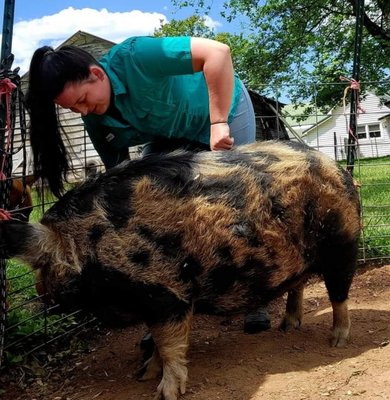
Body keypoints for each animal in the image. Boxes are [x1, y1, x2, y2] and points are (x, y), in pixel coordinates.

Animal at [0, 141, 360, 400]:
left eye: (43, 264)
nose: (43, 297)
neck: (93, 239)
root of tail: (339, 169)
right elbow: (159, 343)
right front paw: (143, 374)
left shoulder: (167, 293)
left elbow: (169, 342)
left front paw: (165, 393)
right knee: (298, 284)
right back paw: (287, 327)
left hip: (343, 244)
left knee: (339, 295)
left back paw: (337, 342)